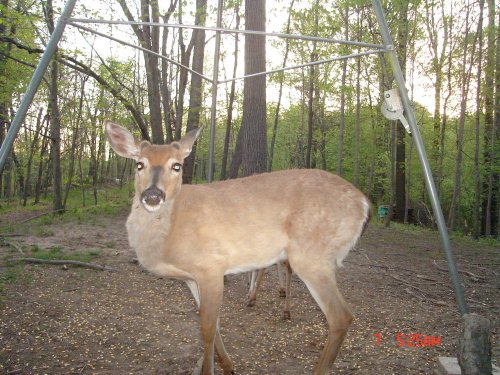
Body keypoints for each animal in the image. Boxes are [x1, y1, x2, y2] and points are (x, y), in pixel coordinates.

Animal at [105, 121, 372, 375]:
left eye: (177, 166)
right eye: (139, 164)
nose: (152, 195)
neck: (170, 235)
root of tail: (364, 203)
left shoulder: (211, 266)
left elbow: (207, 328)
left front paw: (210, 369)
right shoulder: (191, 278)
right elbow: (213, 324)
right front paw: (228, 366)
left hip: (312, 255)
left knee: (341, 316)